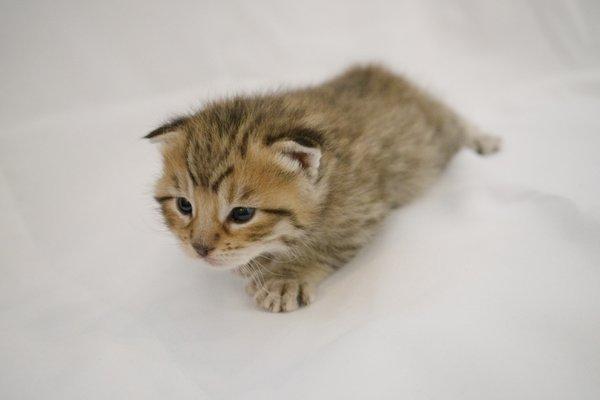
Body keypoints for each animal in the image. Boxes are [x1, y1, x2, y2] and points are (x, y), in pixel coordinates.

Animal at [146, 65, 502, 312]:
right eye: (184, 206)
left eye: (242, 213)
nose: (200, 249)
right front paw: (255, 264)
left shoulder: (362, 209)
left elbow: (323, 245)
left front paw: (284, 279)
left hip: (435, 137)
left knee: (454, 121)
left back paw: (486, 141)